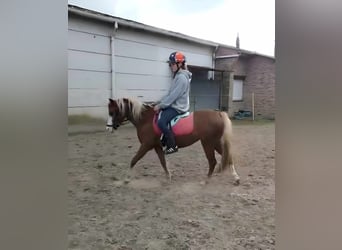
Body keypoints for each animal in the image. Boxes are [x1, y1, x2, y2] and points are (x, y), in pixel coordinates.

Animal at [107, 97, 240, 186]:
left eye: (113, 112)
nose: (108, 128)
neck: (145, 120)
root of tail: (218, 114)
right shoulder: (157, 147)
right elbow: (163, 162)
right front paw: (168, 177)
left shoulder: (146, 145)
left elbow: (134, 160)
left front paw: (126, 178)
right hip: (215, 142)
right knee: (228, 156)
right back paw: (236, 178)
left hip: (208, 143)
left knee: (213, 161)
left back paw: (206, 180)